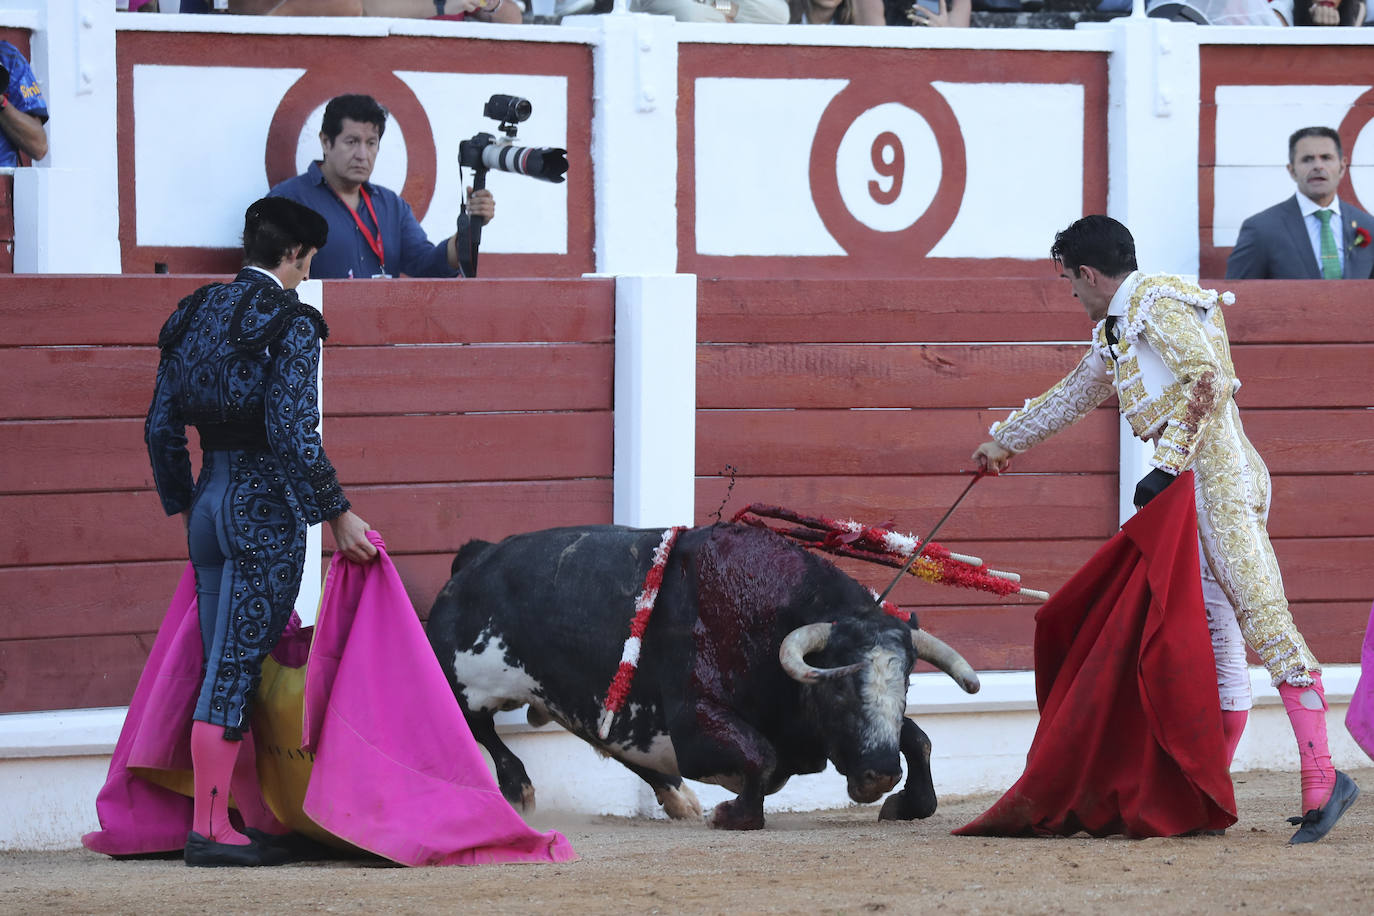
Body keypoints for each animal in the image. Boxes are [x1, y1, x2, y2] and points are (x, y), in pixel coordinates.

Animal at [425, 521, 978, 829]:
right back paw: (519, 790)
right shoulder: (694, 722)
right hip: (462, 680)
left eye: (905, 686)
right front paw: (731, 814)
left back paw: (677, 798)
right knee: (476, 727)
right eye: (838, 689)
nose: (879, 773)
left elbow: (920, 740)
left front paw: (906, 803)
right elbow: (762, 757)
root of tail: (475, 555)